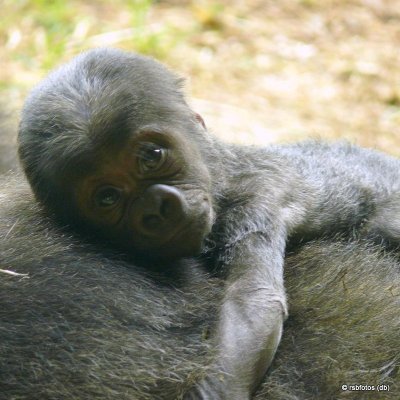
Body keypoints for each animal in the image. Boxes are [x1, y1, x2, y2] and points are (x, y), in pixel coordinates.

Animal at [19, 47, 400, 400]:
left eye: (152, 156)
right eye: (108, 198)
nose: (156, 208)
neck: (220, 171)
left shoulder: (256, 195)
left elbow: (254, 302)